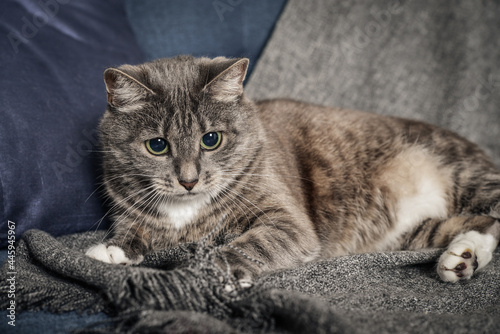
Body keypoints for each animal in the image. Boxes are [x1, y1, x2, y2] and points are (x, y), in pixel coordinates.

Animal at [87, 55, 500, 284]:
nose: (188, 180)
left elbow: (256, 243)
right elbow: (132, 231)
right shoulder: (128, 208)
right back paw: (461, 259)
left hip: (466, 175)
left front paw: (213, 271)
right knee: (477, 223)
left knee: (493, 216)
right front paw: (110, 251)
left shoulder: (287, 220)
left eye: (211, 139)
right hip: (408, 233)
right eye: (157, 145)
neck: (186, 212)